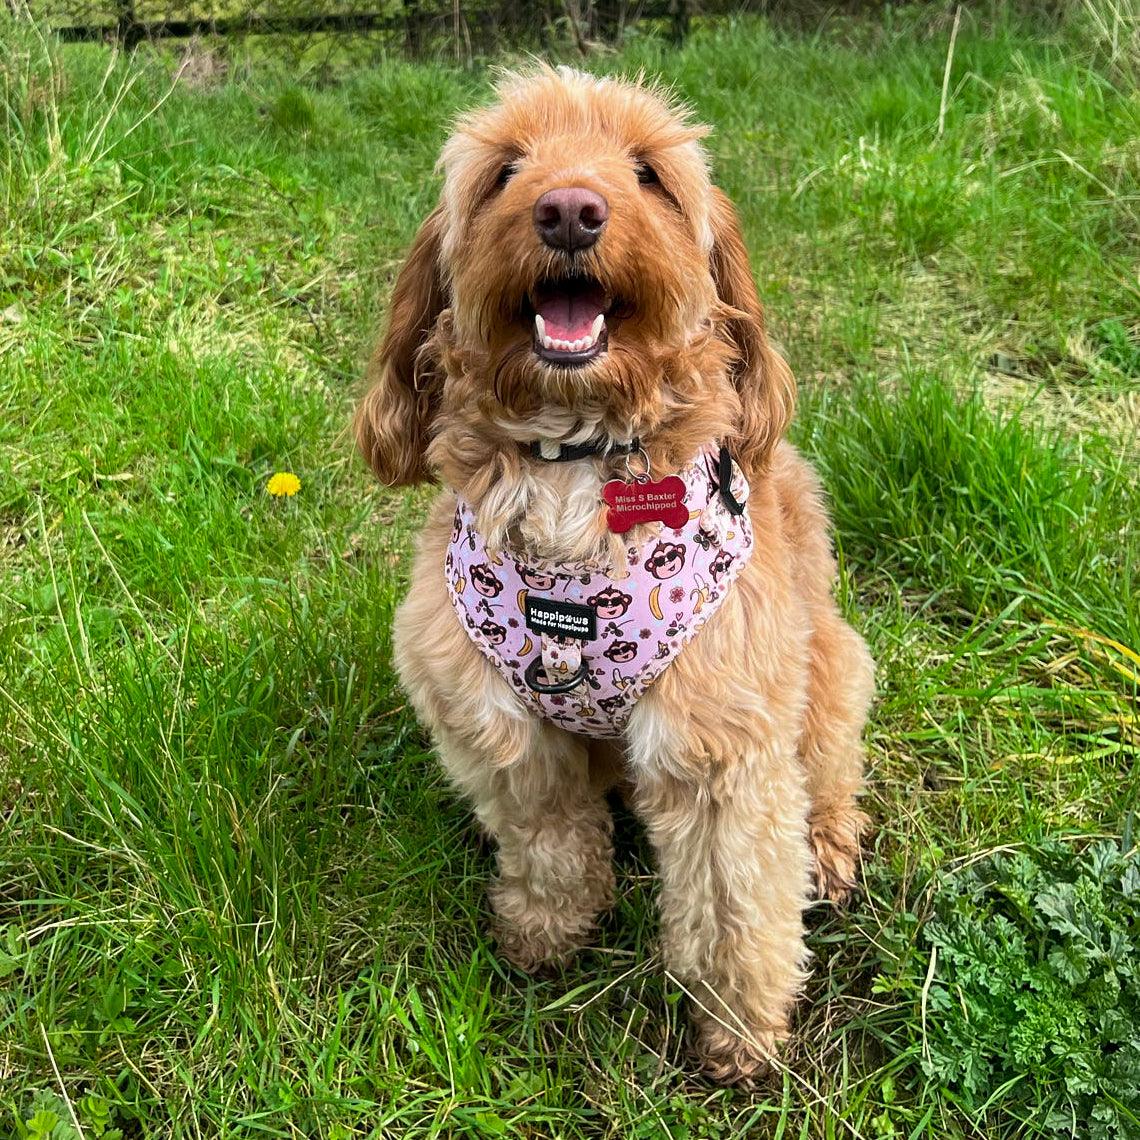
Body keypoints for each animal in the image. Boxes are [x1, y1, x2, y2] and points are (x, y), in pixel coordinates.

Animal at [355, 66, 870, 1080]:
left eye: (648, 173)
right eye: (505, 170)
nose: (568, 209)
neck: (572, 465)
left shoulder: (720, 746)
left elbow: (736, 905)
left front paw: (739, 1036)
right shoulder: (498, 729)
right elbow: (550, 842)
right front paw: (544, 934)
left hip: (830, 671)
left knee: (829, 778)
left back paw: (829, 848)